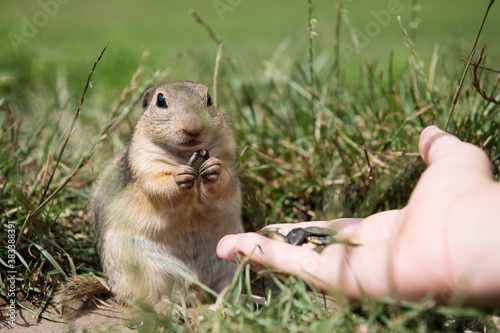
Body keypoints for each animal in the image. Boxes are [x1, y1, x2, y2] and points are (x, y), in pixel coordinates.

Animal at [62, 80, 244, 314]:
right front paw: (178, 176)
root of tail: (193, 289)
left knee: (226, 287)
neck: (186, 155)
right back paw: (171, 309)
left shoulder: (227, 154)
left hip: (231, 264)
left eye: (209, 99)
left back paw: (229, 304)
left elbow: (226, 181)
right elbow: (158, 184)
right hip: (144, 271)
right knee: (150, 299)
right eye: (161, 100)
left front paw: (214, 168)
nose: (193, 128)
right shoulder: (145, 160)